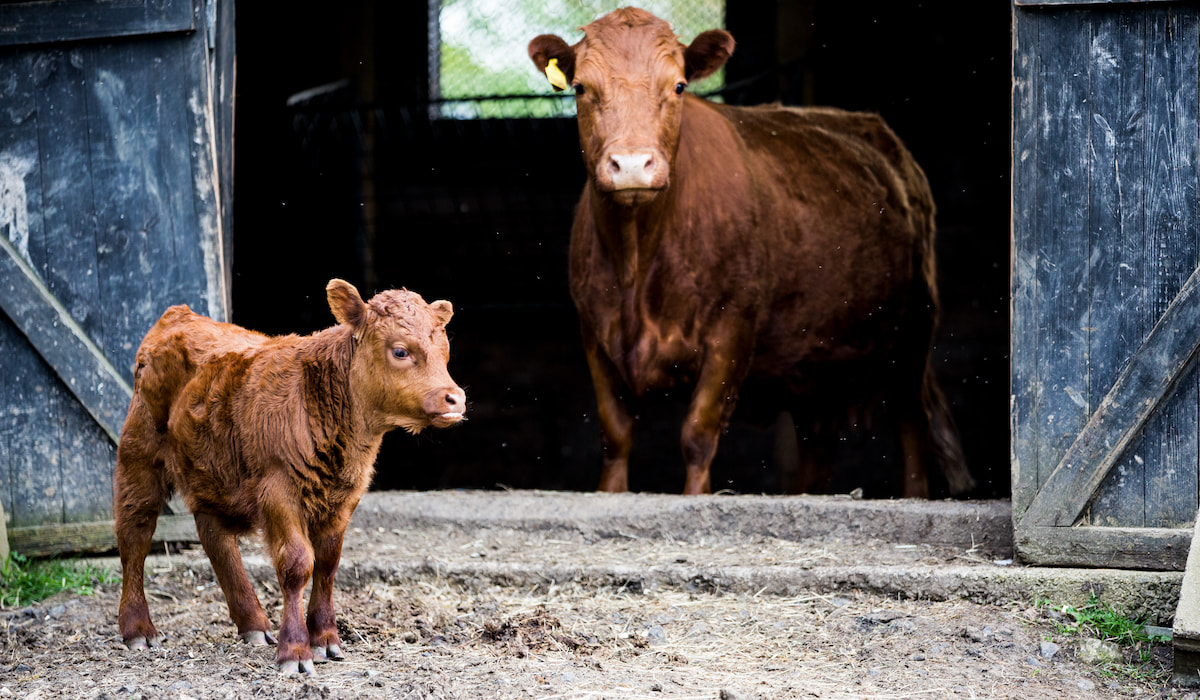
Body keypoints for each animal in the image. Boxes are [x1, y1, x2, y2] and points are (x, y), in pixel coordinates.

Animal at [115, 278, 463, 672]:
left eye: (445, 351)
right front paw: (295, 649)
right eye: (400, 351)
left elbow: (327, 563)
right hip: (139, 455)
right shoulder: (278, 489)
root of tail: (179, 315)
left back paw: (253, 623)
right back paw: (137, 628)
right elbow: (297, 564)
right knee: (135, 534)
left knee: (215, 537)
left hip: (212, 471)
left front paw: (325, 638)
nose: (455, 398)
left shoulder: (345, 496)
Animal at [532, 6, 974, 499]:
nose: (631, 165)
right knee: (818, 444)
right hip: (815, 365)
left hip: (914, 331)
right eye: (581, 88)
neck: (637, 264)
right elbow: (616, 435)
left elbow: (698, 434)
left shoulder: (732, 329)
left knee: (912, 421)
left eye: (679, 86)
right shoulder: (594, 332)